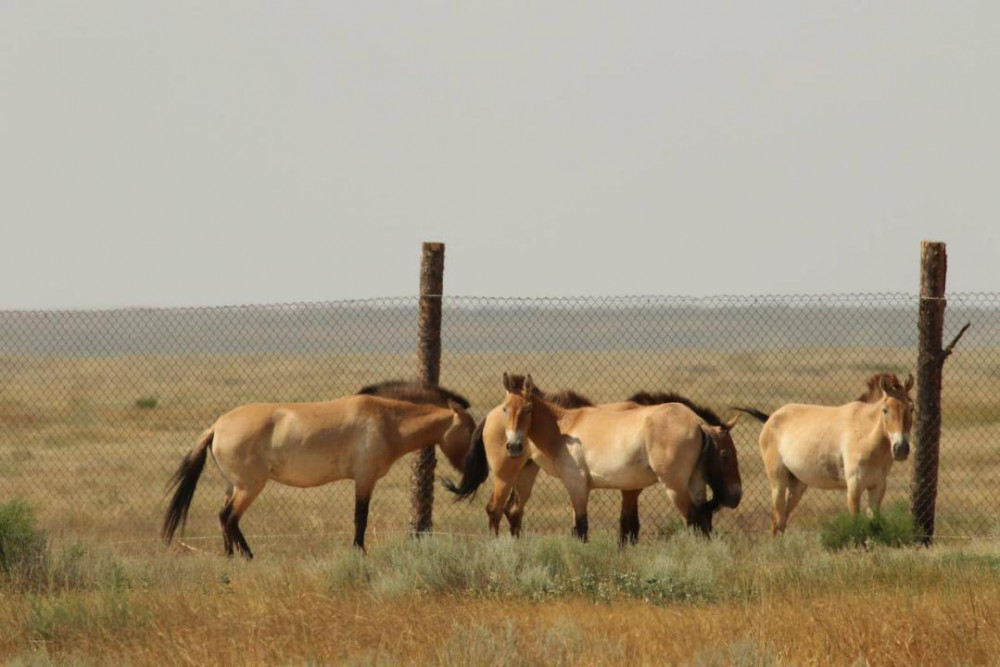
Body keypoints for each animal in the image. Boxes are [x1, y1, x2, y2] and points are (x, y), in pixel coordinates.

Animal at [162, 388, 474, 560]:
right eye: (470, 430)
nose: (470, 477)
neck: (386, 420)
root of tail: (216, 427)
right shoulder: (365, 479)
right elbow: (360, 519)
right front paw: (359, 554)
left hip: (233, 487)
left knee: (223, 518)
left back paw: (230, 559)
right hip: (249, 487)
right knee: (230, 518)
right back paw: (249, 558)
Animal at [446, 376, 744, 544]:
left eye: (528, 409)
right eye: (508, 409)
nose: (514, 445)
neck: (564, 427)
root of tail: (697, 423)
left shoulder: (580, 486)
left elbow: (586, 528)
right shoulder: (587, 488)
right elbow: (596, 528)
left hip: (675, 486)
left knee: (696, 518)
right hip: (513, 475)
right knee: (501, 510)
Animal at [736, 370, 916, 536]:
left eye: (912, 408)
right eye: (885, 410)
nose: (901, 449)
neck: (865, 436)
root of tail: (770, 418)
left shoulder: (877, 486)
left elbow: (874, 523)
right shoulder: (854, 485)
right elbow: (856, 522)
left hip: (797, 485)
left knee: (782, 520)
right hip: (778, 481)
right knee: (777, 518)